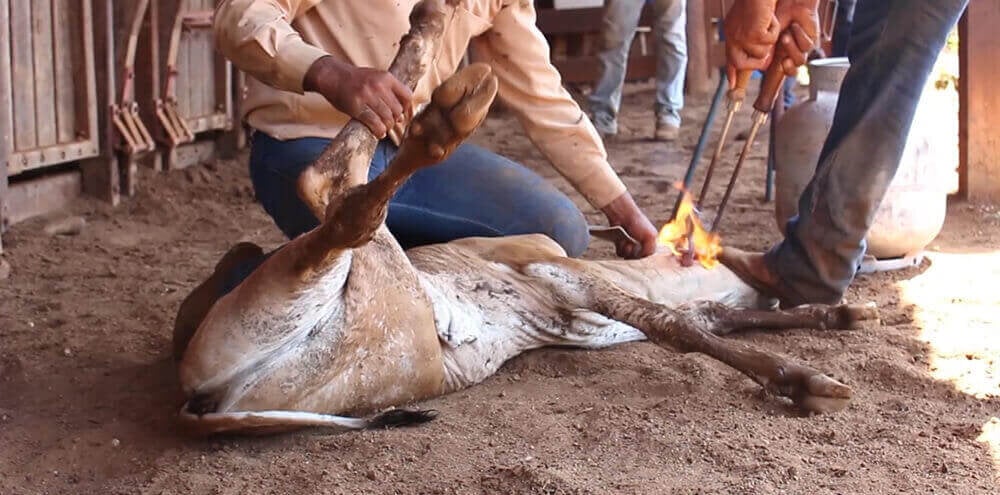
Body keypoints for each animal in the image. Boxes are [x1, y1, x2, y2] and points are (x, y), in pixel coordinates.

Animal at [170, 0, 876, 434]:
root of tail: (199, 401)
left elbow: (715, 320)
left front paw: (839, 318)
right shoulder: (554, 269)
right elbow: (678, 326)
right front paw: (809, 379)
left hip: (380, 347)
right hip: (367, 260)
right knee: (329, 183)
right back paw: (444, 101)